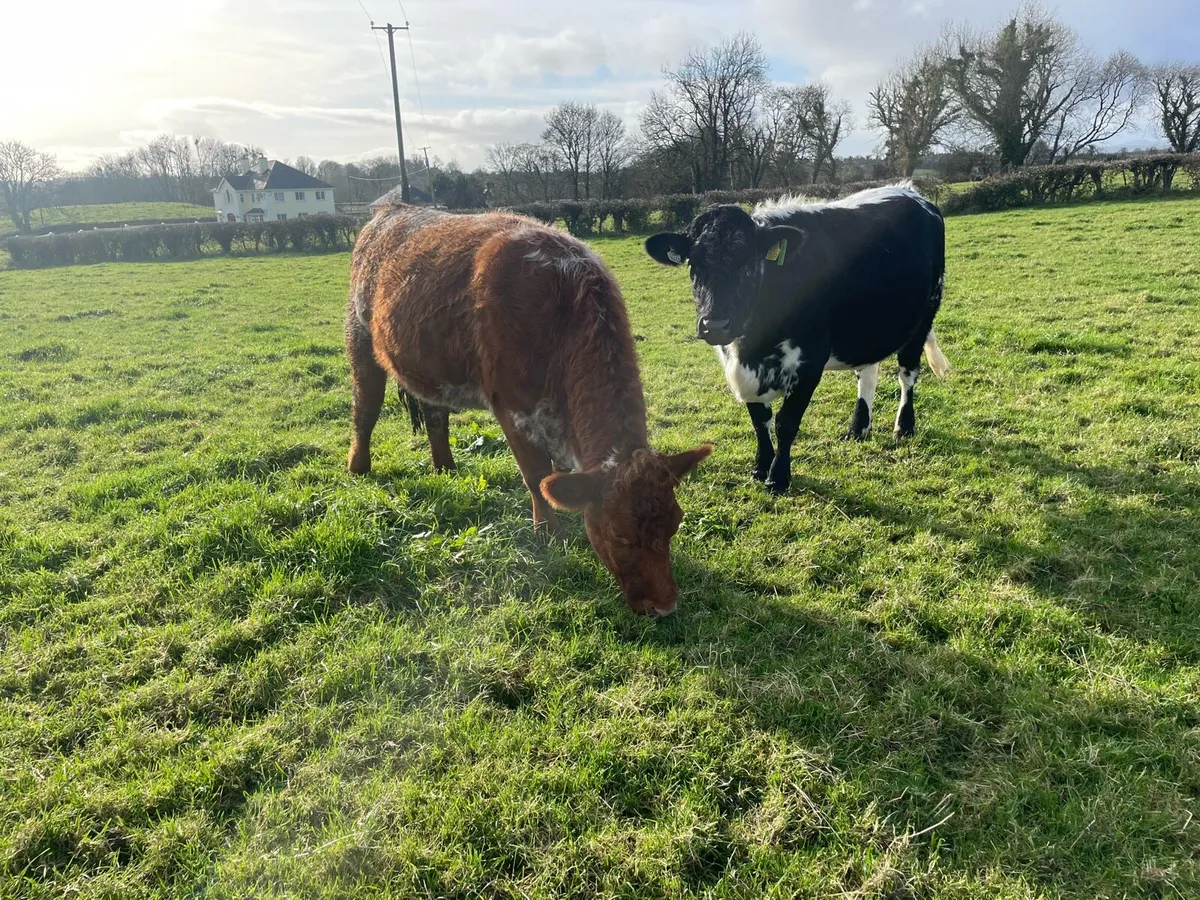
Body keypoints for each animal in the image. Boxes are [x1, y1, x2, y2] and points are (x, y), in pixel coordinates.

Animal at [345, 202, 712, 617]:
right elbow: (537, 475)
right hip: (359, 335)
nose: (665, 607)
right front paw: (548, 532)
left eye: (675, 523)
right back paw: (359, 467)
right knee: (365, 408)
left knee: (435, 414)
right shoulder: (511, 407)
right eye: (619, 534)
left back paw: (445, 466)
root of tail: (393, 209)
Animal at [644, 182, 949, 496]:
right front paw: (760, 467)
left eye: (749, 263)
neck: (752, 349)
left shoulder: (810, 361)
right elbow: (759, 419)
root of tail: (907, 189)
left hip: (925, 314)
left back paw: (904, 427)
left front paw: (778, 477)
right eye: (694, 264)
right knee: (868, 372)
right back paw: (858, 428)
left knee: (907, 373)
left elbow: (786, 422)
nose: (715, 325)